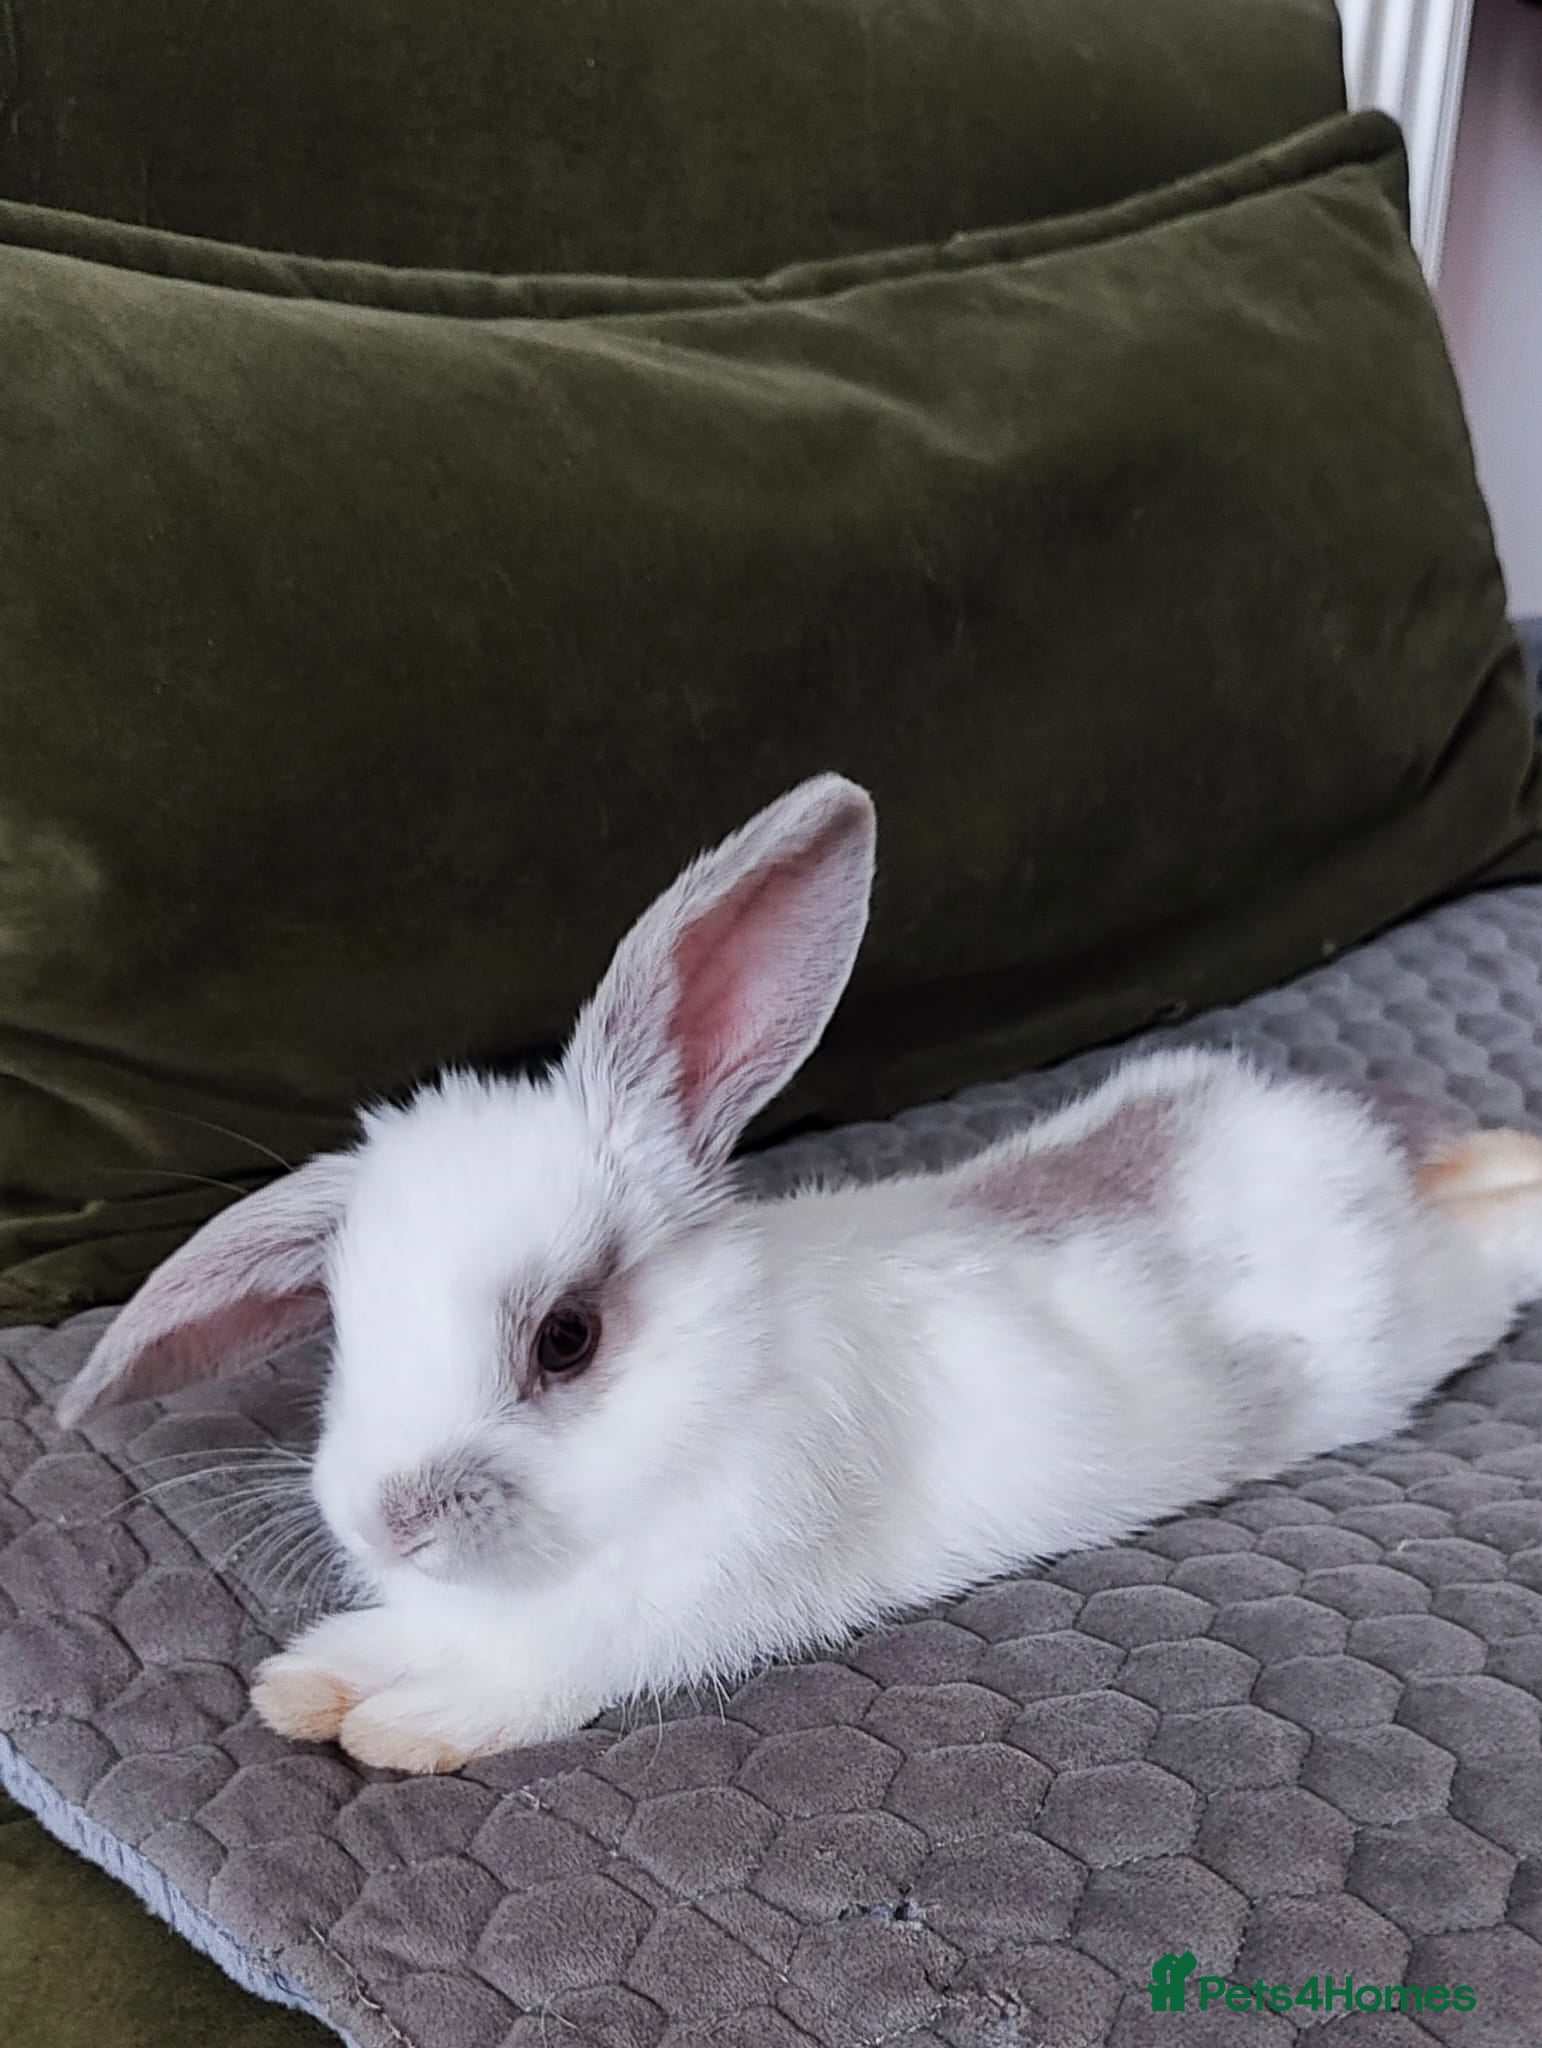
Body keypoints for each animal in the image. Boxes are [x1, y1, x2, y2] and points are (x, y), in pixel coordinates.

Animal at [56, 773, 1542, 1774]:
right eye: (343, 1332)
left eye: (567, 1337)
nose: (391, 1520)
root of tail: (1337, 1133)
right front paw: (310, 1684)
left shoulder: (671, 1610)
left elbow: (544, 1669)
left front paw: (406, 1725)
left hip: (1410, 1328)